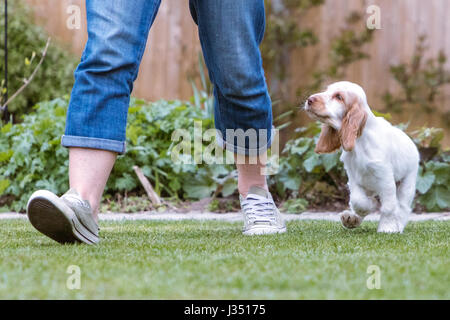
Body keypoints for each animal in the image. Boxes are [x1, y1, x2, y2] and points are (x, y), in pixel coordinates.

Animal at [304, 81, 420, 234]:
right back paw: (352, 218)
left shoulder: (385, 177)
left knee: (403, 207)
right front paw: (366, 209)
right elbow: (357, 200)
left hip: (407, 182)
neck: (360, 142)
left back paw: (398, 225)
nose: (309, 100)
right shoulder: (353, 177)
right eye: (326, 90)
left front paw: (387, 227)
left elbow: (389, 206)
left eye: (339, 97)